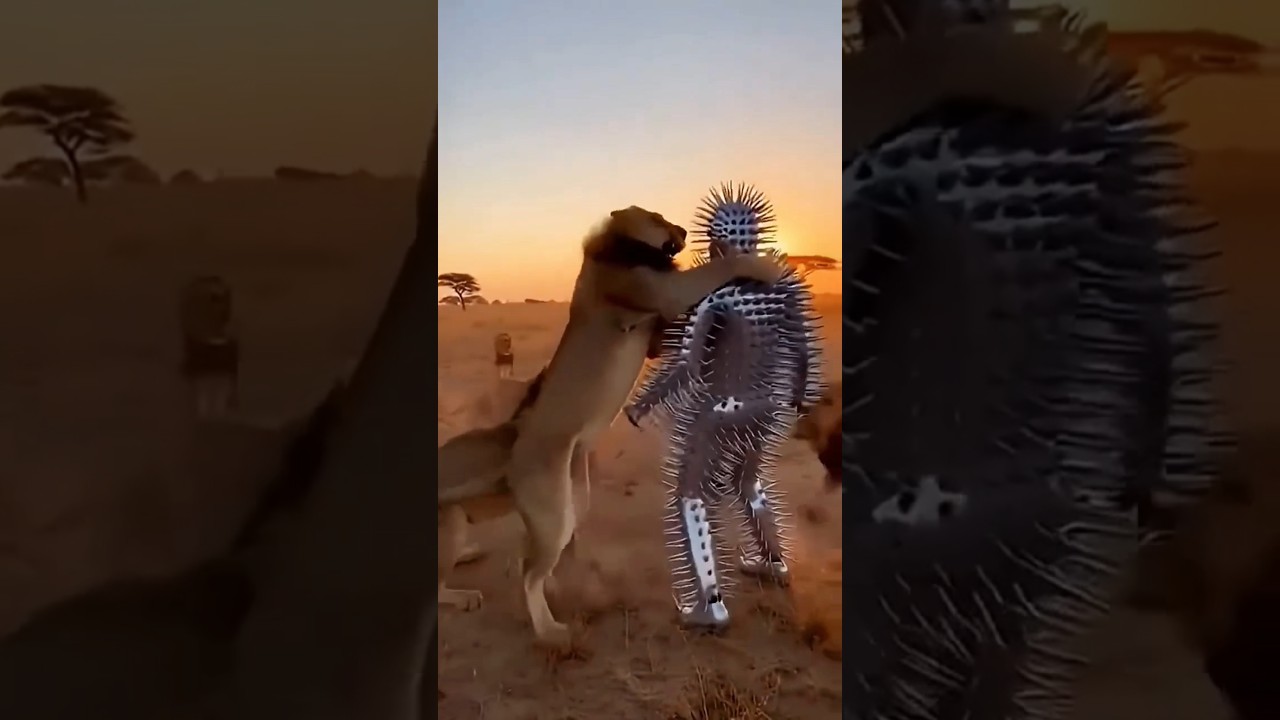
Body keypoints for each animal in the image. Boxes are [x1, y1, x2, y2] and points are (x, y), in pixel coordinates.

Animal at [435, 205, 786, 648]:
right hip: (551, 507)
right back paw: (549, 630)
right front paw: (764, 264)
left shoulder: (658, 321)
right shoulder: (662, 291)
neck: (615, 251)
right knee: (527, 572)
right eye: (658, 218)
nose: (683, 230)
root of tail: (516, 437)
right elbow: (719, 268)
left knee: (531, 558)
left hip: (572, 495)